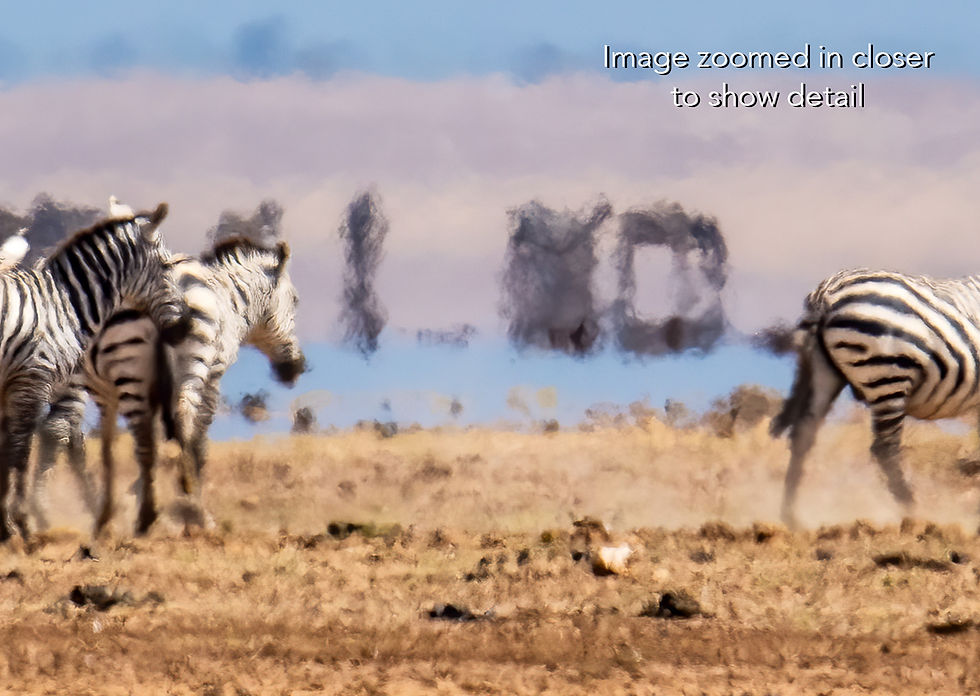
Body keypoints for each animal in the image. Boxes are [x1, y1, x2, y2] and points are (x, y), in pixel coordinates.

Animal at [0, 203, 188, 541]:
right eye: (168, 266)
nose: (183, 328)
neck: (63, 304)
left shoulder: (13, 385)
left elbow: (8, 450)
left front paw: (6, 526)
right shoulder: (32, 379)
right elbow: (20, 450)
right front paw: (21, 523)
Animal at [32, 235, 305, 535]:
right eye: (295, 300)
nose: (296, 368)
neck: (229, 299)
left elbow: (153, 440)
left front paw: (143, 493)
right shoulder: (212, 375)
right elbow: (196, 439)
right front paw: (188, 502)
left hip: (78, 376)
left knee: (74, 436)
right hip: (183, 362)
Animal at [770, 267, 980, 529]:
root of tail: (827, 293)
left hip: (824, 371)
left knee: (803, 434)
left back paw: (791, 517)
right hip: (888, 374)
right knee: (885, 448)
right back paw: (915, 514)